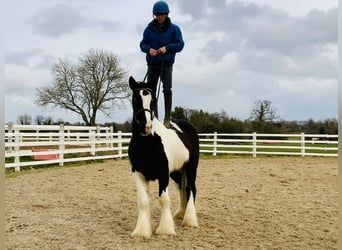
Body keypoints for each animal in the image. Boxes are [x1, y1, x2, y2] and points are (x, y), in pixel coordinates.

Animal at [128, 76, 199, 238]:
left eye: (153, 100)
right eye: (135, 98)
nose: (146, 126)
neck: (148, 143)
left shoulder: (163, 174)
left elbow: (163, 199)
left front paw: (165, 229)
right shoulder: (138, 173)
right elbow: (142, 201)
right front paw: (142, 231)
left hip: (191, 168)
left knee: (191, 188)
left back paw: (189, 220)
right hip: (177, 172)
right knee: (182, 188)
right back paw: (180, 213)